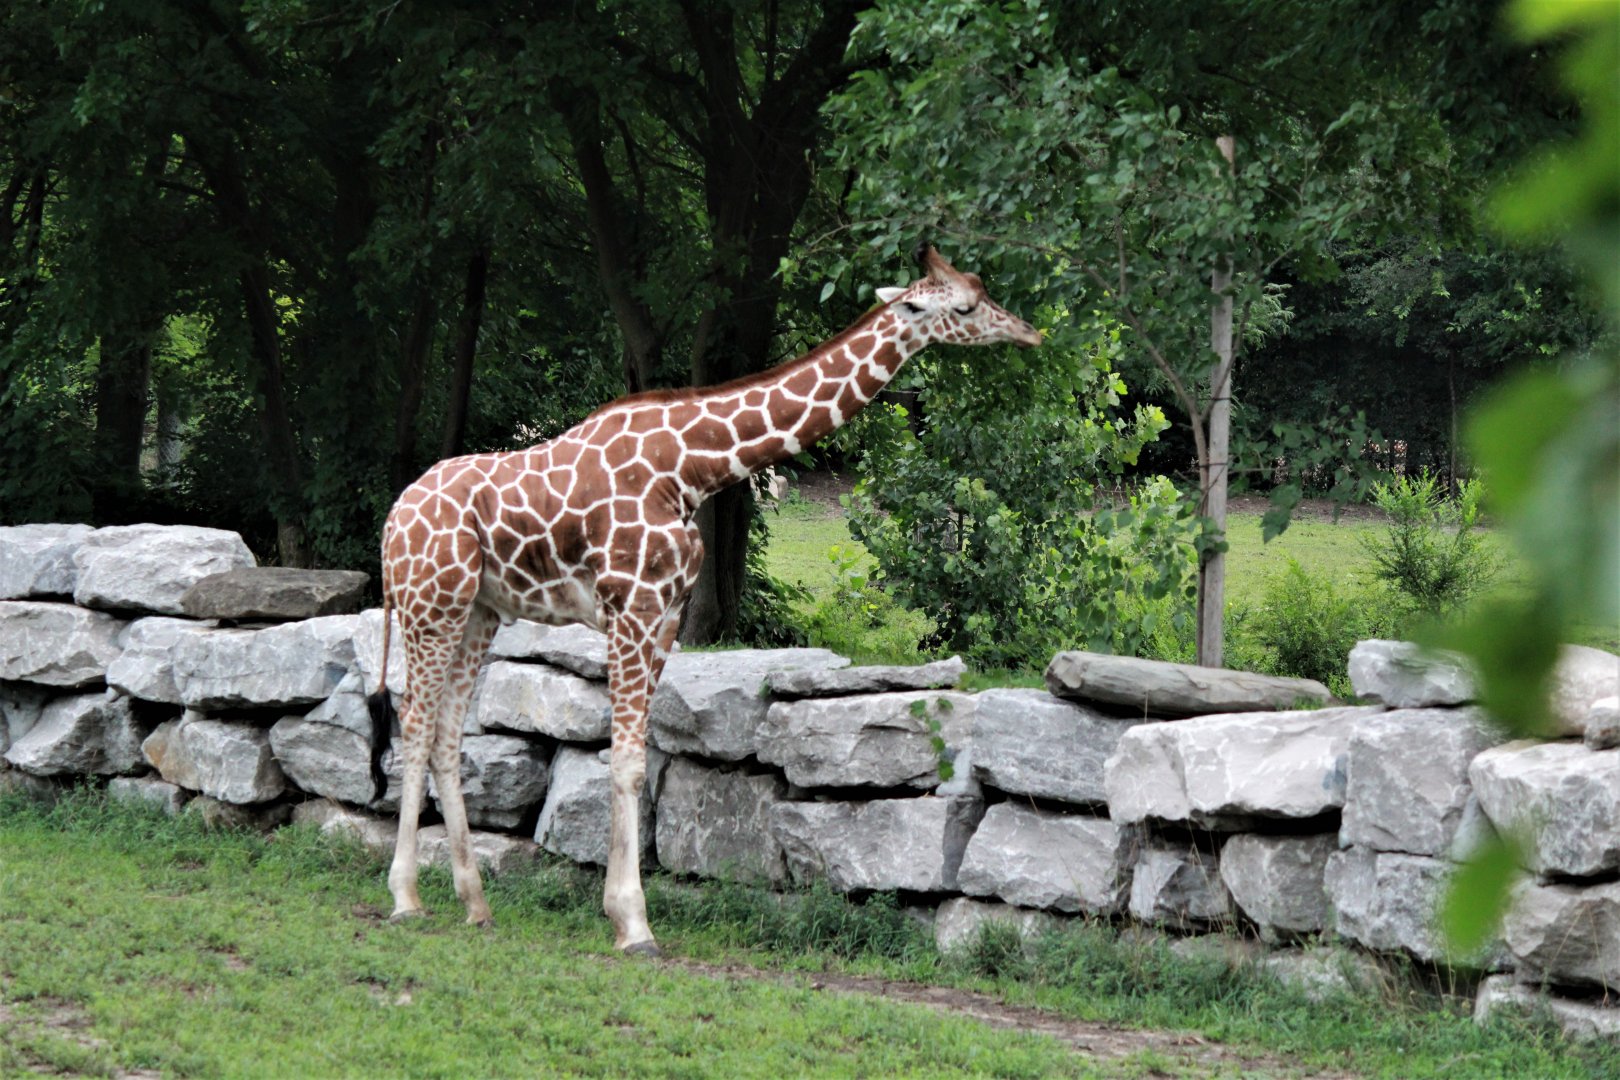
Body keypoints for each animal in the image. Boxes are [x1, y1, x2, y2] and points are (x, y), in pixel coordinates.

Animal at [368, 244, 1041, 955]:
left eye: (982, 288)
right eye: (965, 306)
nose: (1030, 333)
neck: (693, 469)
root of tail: (391, 521)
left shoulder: (666, 615)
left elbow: (638, 759)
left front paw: (621, 913)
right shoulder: (631, 606)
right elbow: (625, 762)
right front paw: (634, 923)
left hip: (478, 610)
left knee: (446, 733)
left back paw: (475, 904)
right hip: (432, 602)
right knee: (416, 725)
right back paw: (406, 897)